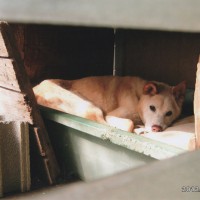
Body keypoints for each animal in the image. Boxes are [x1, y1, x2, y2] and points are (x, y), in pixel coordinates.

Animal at [33, 76, 186, 132]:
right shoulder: (111, 115)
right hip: (90, 106)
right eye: (152, 108)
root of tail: (35, 90)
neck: (138, 97)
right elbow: (128, 123)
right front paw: (135, 126)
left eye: (169, 113)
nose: (156, 128)